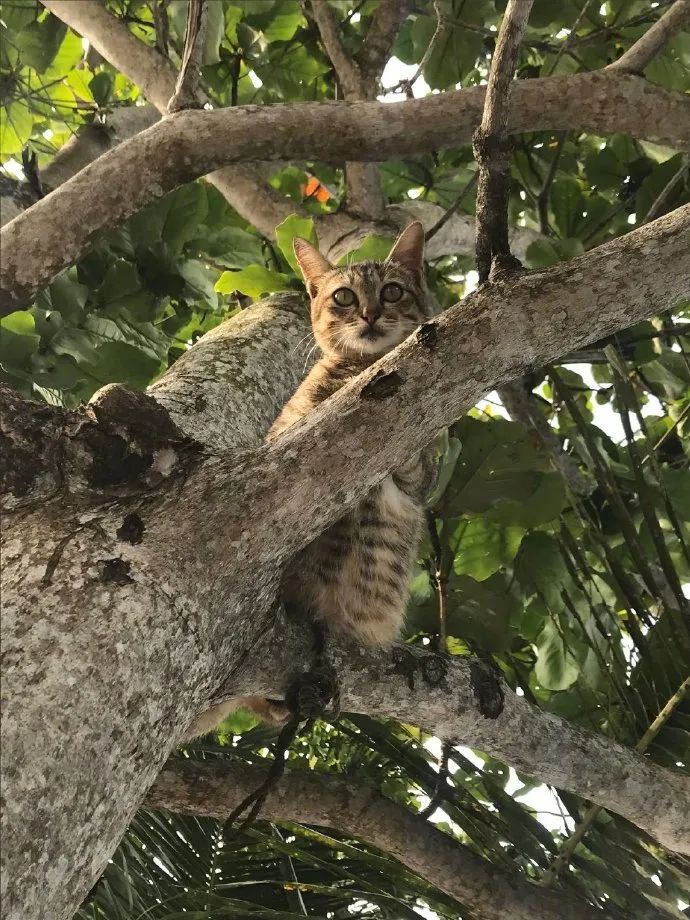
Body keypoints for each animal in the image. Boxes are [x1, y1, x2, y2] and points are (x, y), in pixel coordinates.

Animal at [183, 223, 430, 740]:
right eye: (343, 296)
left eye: (392, 291)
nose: (370, 313)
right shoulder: (288, 439)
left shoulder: (420, 481)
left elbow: (414, 470)